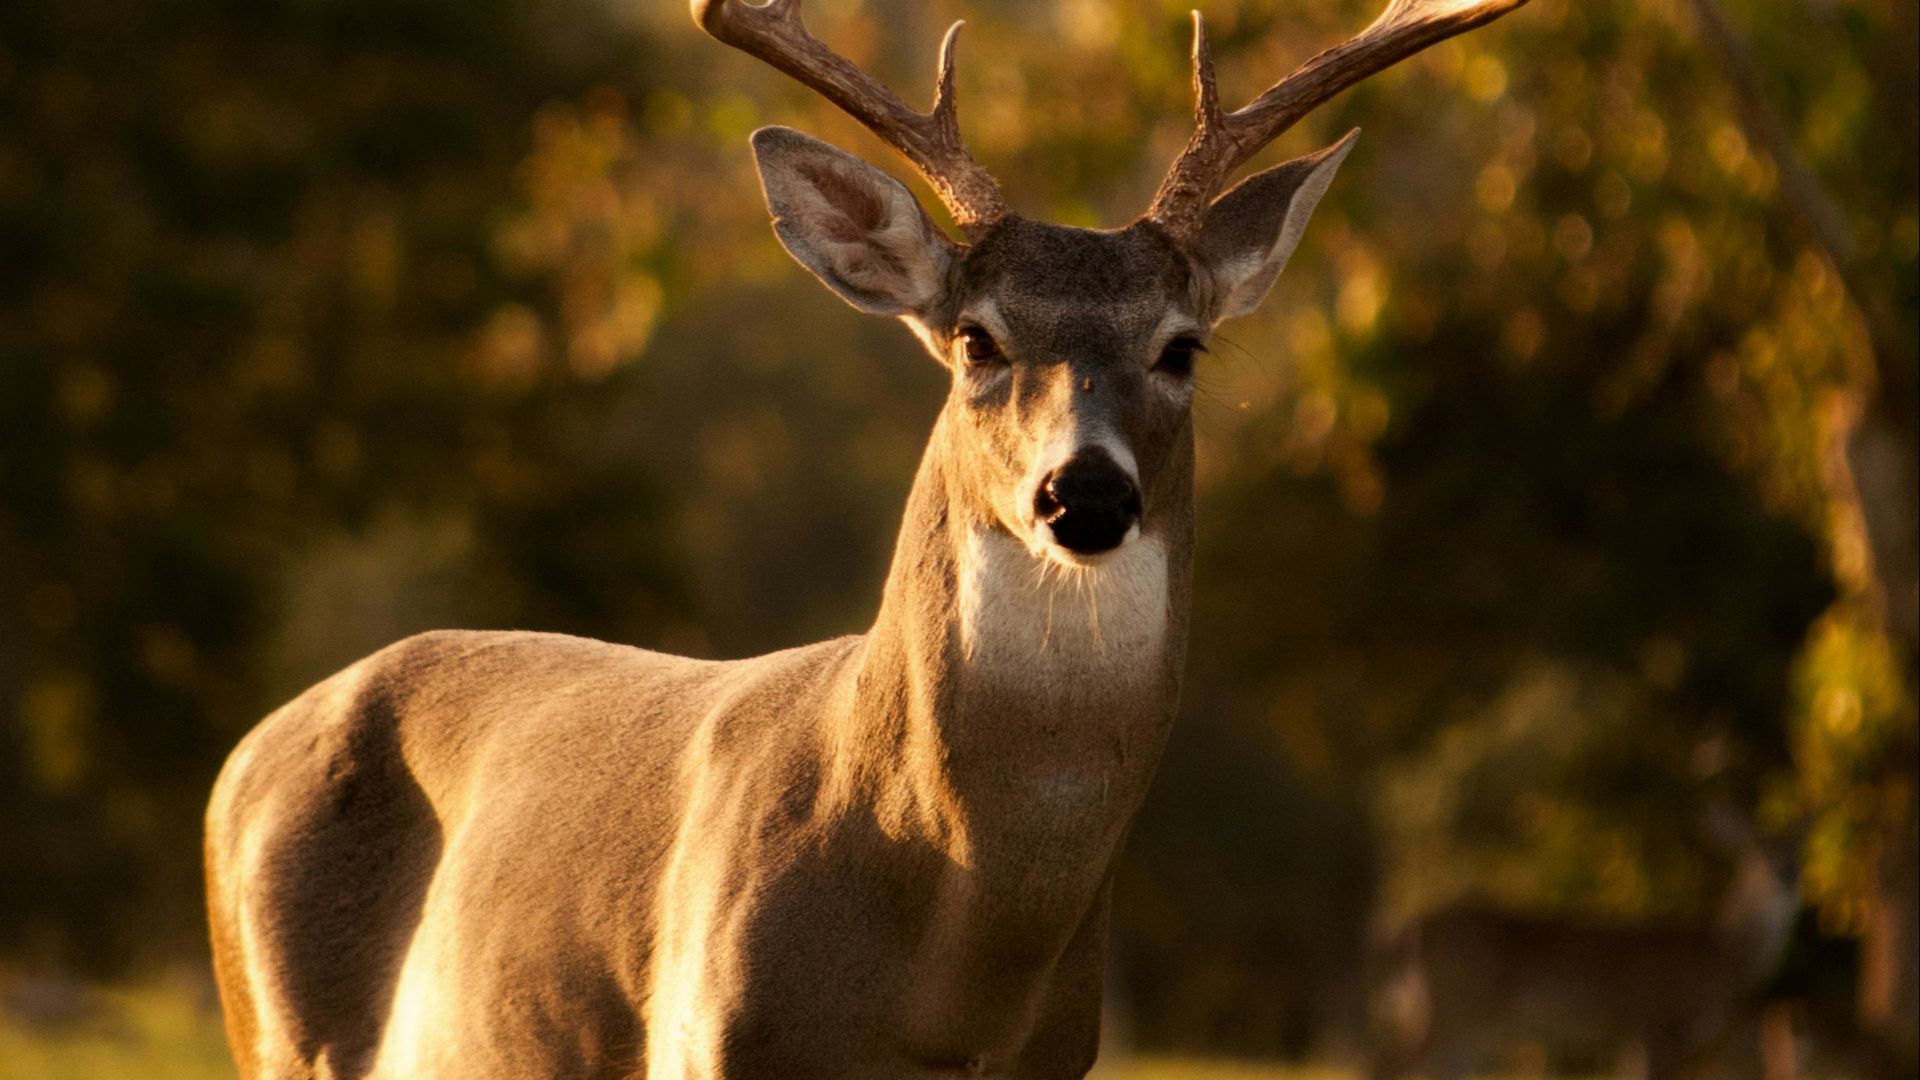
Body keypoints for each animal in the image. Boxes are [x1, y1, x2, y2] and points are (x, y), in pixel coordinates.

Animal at [203, 1, 1534, 1076]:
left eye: (1182, 347)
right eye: (978, 338)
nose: (1084, 495)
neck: (950, 975)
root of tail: (240, 761)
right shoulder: (704, 1044)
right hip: (274, 1028)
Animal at [1366, 802, 1804, 1080]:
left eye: (1797, 850)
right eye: (1755, 853)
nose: (1788, 874)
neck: (1721, 952)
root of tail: (1406, 931)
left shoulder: (1634, 1034)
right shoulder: (1661, 1021)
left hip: (1454, 1016)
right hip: (1458, 1005)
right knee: (1389, 1061)